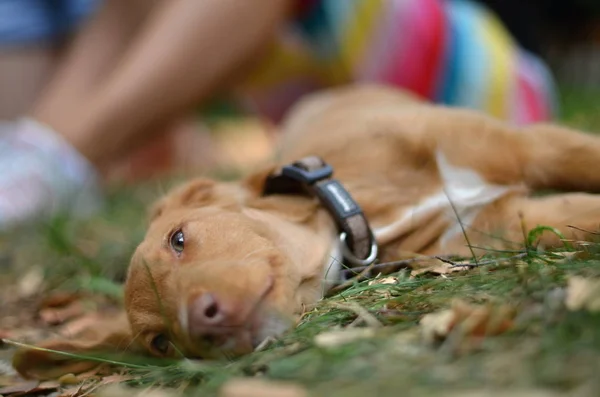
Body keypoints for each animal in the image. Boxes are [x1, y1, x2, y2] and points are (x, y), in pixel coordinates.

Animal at [11, 84, 600, 378]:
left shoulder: (535, 146)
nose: (205, 322)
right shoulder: (498, 226)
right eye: (161, 343)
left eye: (178, 238)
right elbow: (578, 216)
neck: (358, 211)